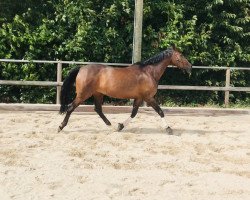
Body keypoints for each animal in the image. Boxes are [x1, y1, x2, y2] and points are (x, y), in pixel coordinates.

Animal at [58, 45, 191, 133]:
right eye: (181, 55)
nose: (190, 66)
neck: (149, 72)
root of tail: (81, 68)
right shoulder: (148, 97)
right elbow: (160, 111)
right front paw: (169, 129)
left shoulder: (139, 98)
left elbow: (134, 113)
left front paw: (120, 126)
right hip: (83, 95)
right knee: (70, 108)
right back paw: (60, 127)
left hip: (97, 94)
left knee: (98, 109)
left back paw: (111, 126)